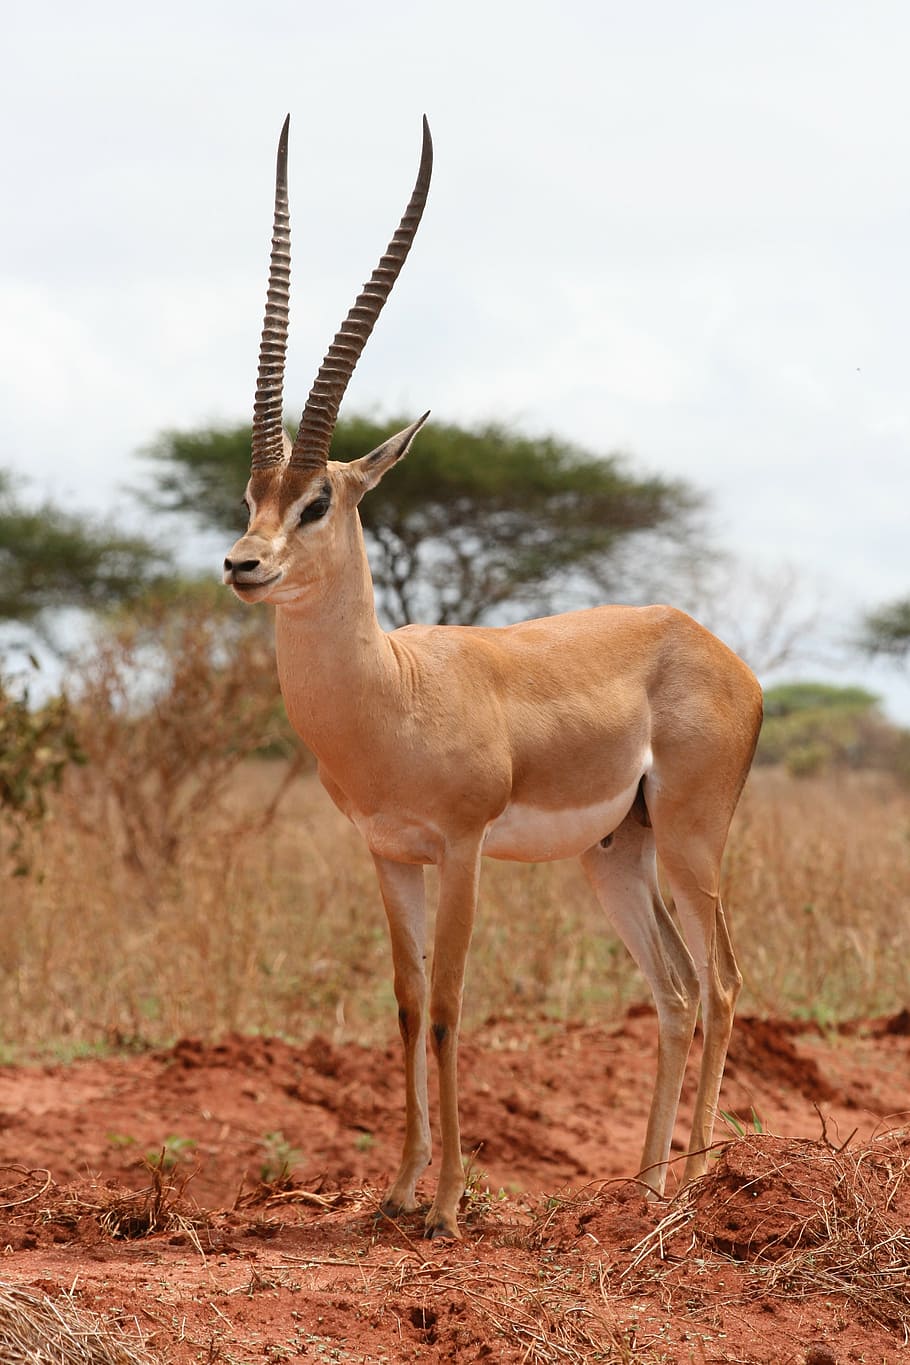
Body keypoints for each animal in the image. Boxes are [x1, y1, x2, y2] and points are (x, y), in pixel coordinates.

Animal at [223, 117, 764, 1244]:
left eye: (318, 501)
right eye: (252, 492)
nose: (242, 564)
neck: (392, 693)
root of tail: (705, 642)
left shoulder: (463, 849)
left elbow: (448, 1005)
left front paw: (445, 1204)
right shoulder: (389, 854)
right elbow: (401, 1002)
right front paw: (395, 1190)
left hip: (692, 842)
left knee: (726, 980)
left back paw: (695, 1187)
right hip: (616, 855)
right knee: (676, 991)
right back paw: (644, 1185)